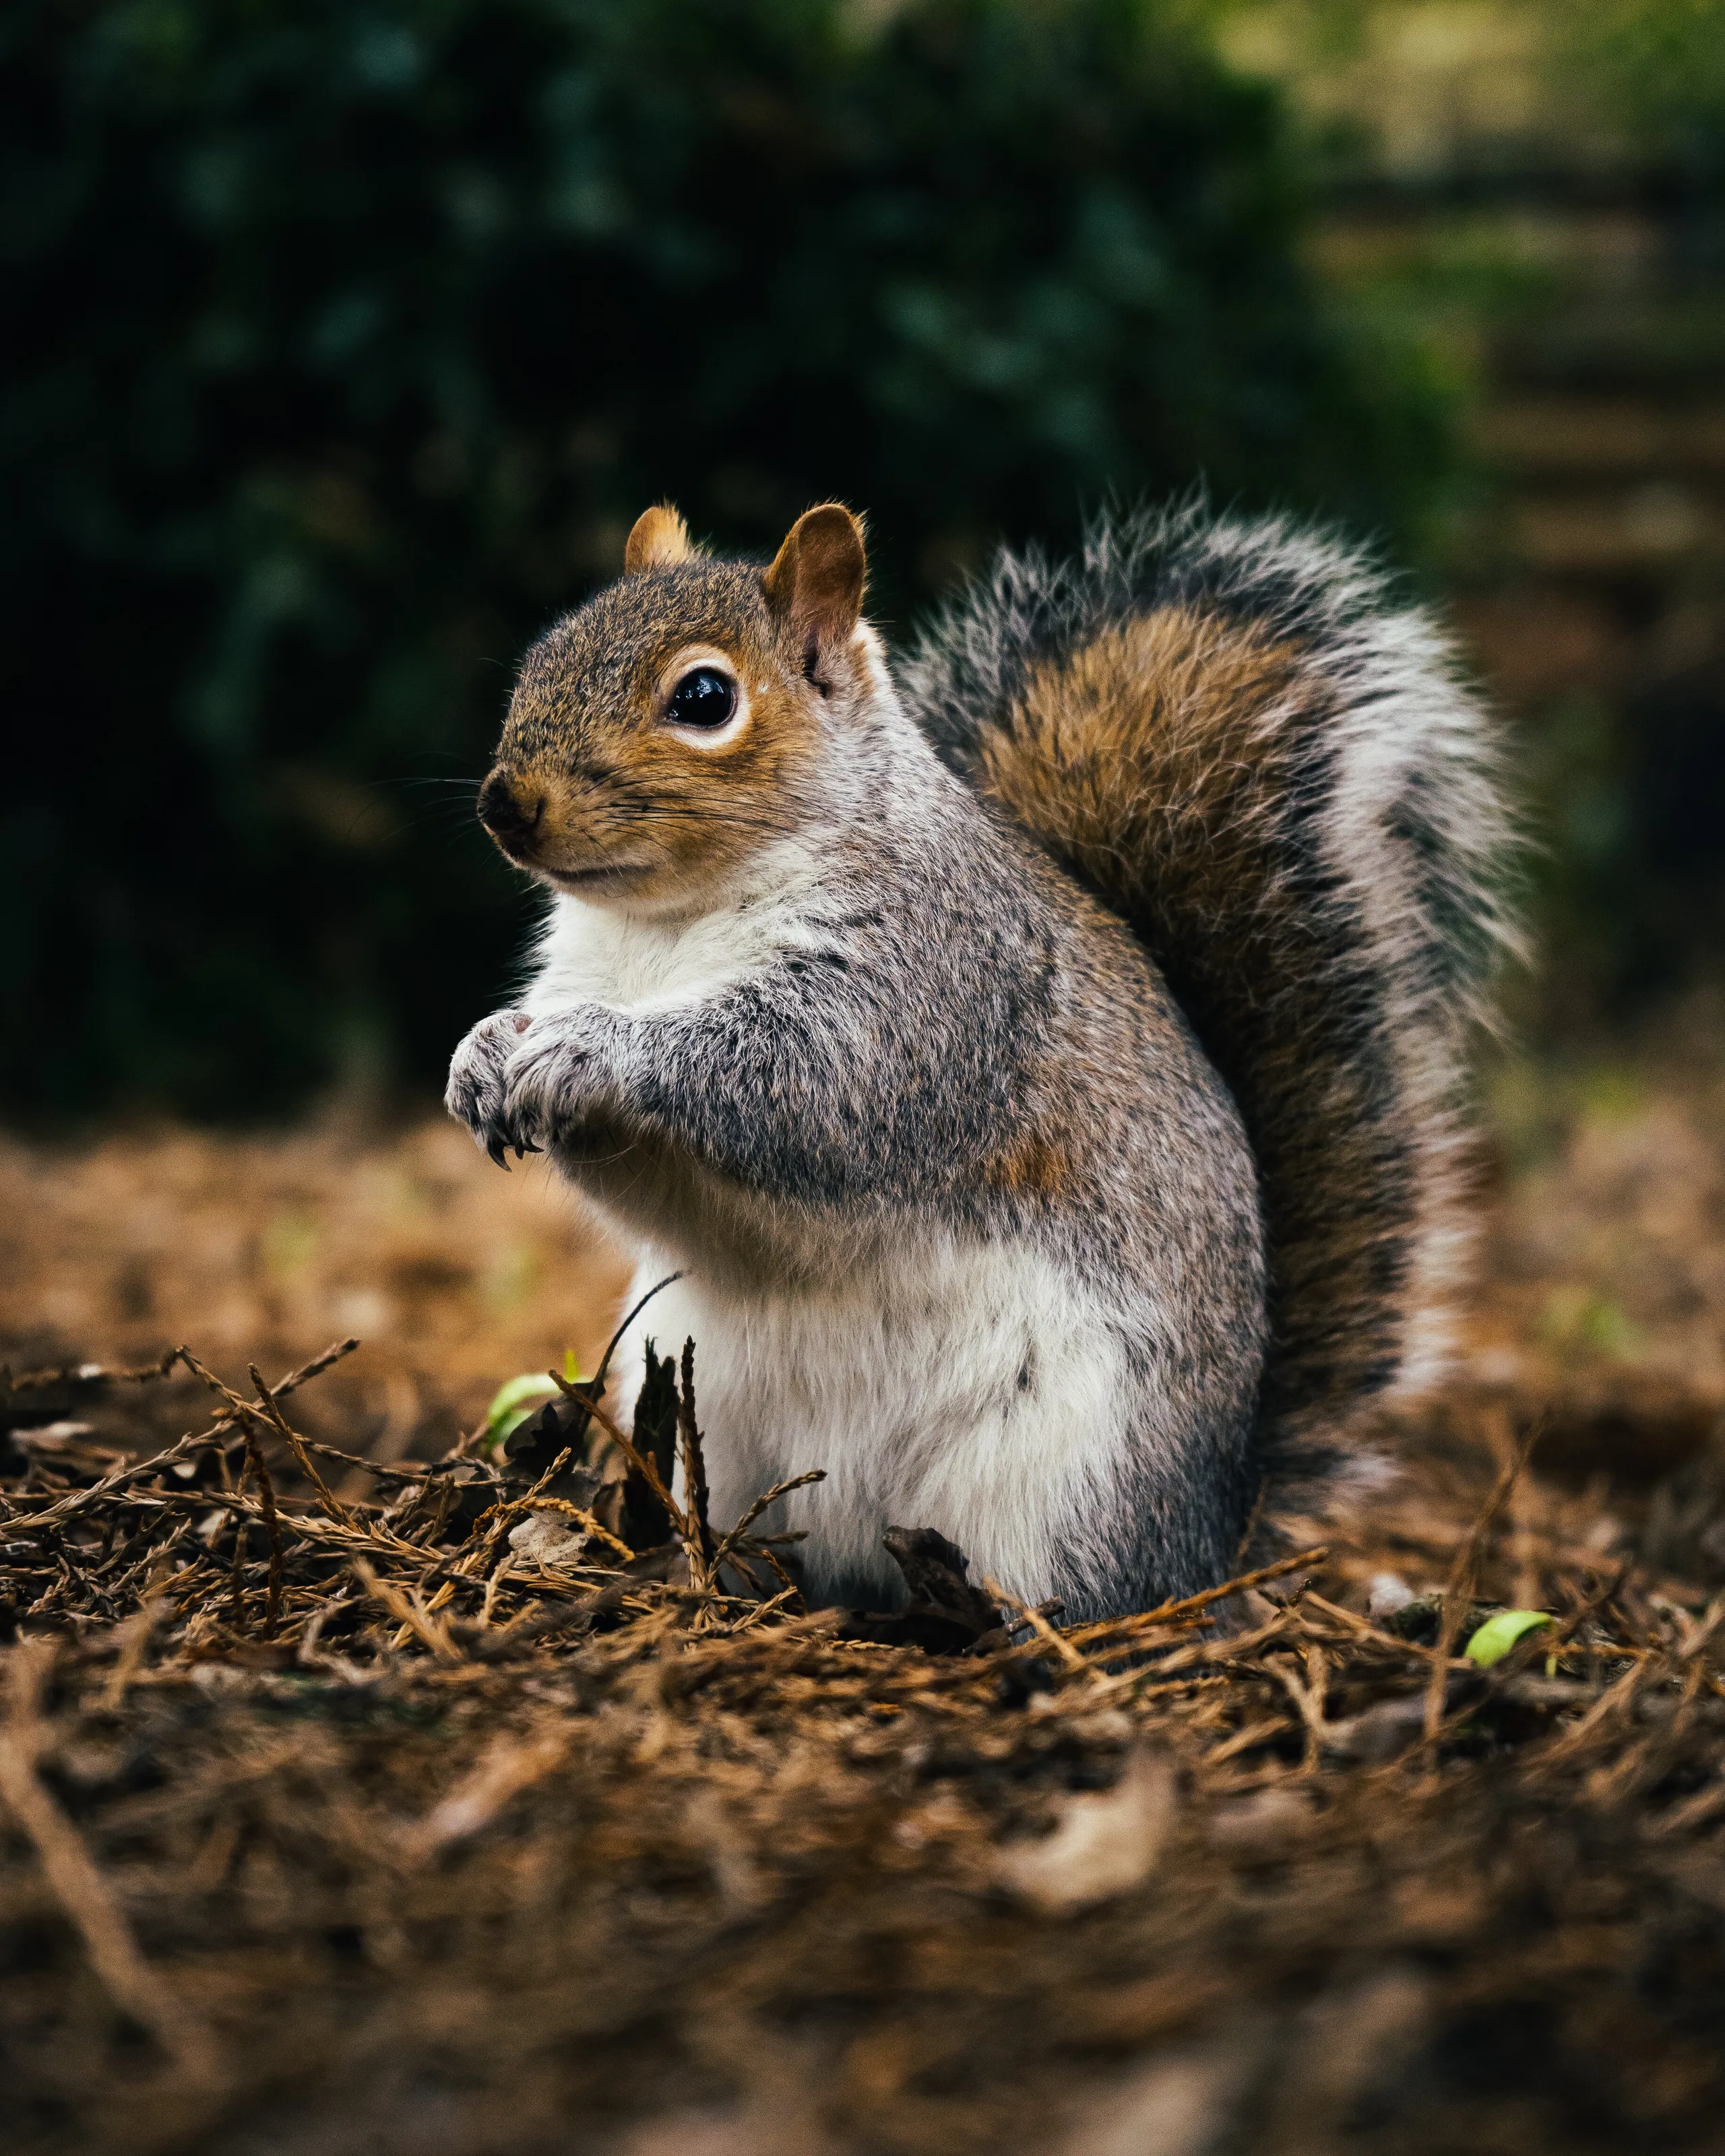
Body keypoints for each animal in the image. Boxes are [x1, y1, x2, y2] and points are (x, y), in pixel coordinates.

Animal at [447, 497, 1514, 1621]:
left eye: (704, 698)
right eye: (542, 653)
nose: (504, 802)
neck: (667, 926)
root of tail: (1216, 1538)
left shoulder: (928, 988)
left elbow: (804, 1087)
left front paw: (592, 1049)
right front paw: (482, 1056)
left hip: (1064, 1475)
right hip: (707, 1416)